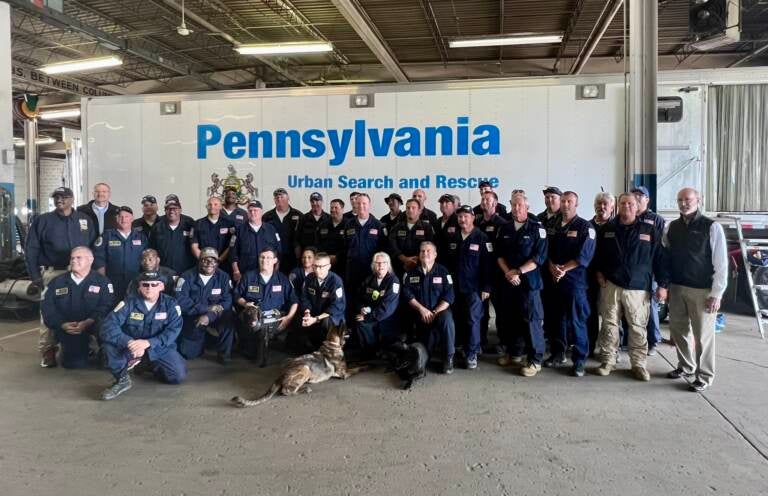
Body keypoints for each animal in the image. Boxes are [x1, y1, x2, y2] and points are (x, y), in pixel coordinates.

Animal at [230, 322, 364, 406]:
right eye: (347, 330)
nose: (353, 330)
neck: (332, 343)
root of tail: (281, 376)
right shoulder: (344, 374)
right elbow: (358, 368)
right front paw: (366, 366)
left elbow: (356, 362)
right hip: (305, 368)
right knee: (286, 391)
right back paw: (304, 390)